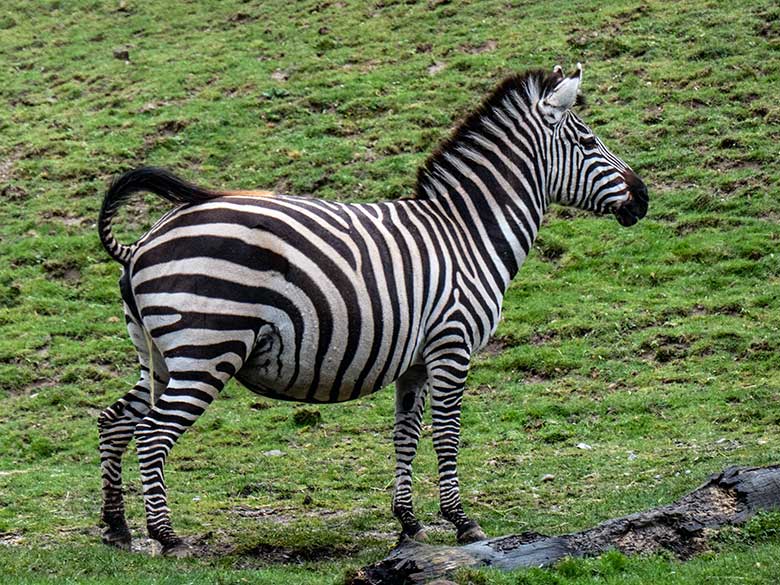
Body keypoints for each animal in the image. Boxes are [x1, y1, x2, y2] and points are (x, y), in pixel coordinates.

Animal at [96, 66, 644, 556]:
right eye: (589, 141)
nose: (643, 199)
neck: (467, 234)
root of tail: (141, 244)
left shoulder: (416, 361)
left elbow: (406, 436)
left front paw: (409, 523)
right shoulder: (452, 344)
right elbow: (447, 434)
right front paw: (462, 521)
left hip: (160, 356)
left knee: (114, 421)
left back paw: (117, 530)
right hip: (207, 350)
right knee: (151, 433)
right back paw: (167, 537)